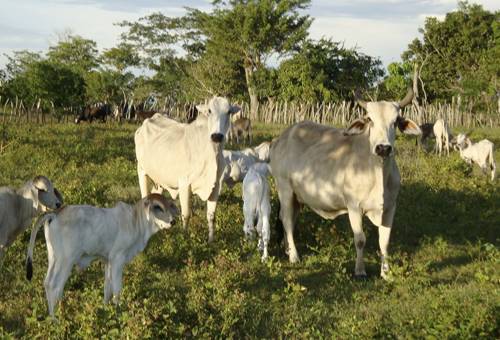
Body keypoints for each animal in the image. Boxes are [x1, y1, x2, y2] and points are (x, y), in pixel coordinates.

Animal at [25, 194, 178, 318]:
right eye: (157, 207)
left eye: (169, 206)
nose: (173, 222)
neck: (135, 222)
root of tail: (56, 213)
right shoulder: (117, 259)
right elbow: (117, 290)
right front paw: (118, 312)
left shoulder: (108, 261)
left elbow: (107, 288)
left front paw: (105, 310)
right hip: (66, 261)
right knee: (54, 286)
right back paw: (56, 319)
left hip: (53, 258)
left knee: (47, 283)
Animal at [135, 95, 240, 242]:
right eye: (209, 111)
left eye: (229, 111)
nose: (217, 136)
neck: (211, 153)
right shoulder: (184, 184)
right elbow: (186, 214)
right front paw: (184, 237)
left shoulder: (215, 187)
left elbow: (211, 216)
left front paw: (211, 241)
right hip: (142, 171)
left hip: (159, 180)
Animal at [268, 88, 420, 278]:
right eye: (370, 119)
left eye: (396, 121)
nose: (383, 148)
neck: (377, 172)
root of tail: (280, 139)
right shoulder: (354, 207)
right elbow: (360, 239)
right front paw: (360, 271)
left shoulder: (390, 207)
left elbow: (384, 242)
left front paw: (386, 273)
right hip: (285, 189)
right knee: (287, 220)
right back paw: (294, 256)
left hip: (297, 197)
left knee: (288, 219)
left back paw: (288, 250)